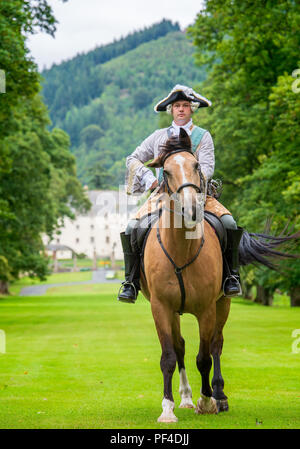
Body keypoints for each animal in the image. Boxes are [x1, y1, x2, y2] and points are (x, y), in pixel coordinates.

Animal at [137, 128, 298, 422]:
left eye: (196, 165)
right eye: (166, 171)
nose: (191, 209)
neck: (181, 250)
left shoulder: (207, 309)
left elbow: (204, 356)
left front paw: (208, 401)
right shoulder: (161, 307)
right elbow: (169, 356)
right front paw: (168, 408)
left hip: (223, 303)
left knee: (216, 345)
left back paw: (219, 396)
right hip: (175, 312)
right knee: (180, 346)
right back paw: (186, 398)